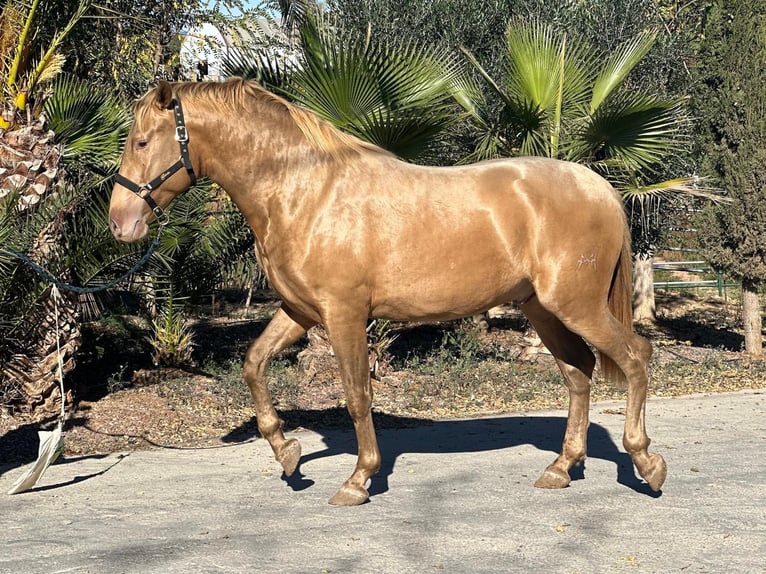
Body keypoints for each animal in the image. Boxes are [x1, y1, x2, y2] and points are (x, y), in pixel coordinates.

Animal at [111, 79, 668, 506]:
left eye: (141, 142)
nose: (121, 222)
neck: (306, 193)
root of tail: (599, 187)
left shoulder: (343, 314)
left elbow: (358, 395)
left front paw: (358, 480)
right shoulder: (299, 311)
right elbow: (253, 364)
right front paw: (287, 453)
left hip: (575, 305)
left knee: (635, 357)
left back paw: (646, 462)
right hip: (544, 310)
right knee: (579, 373)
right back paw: (561, 467)